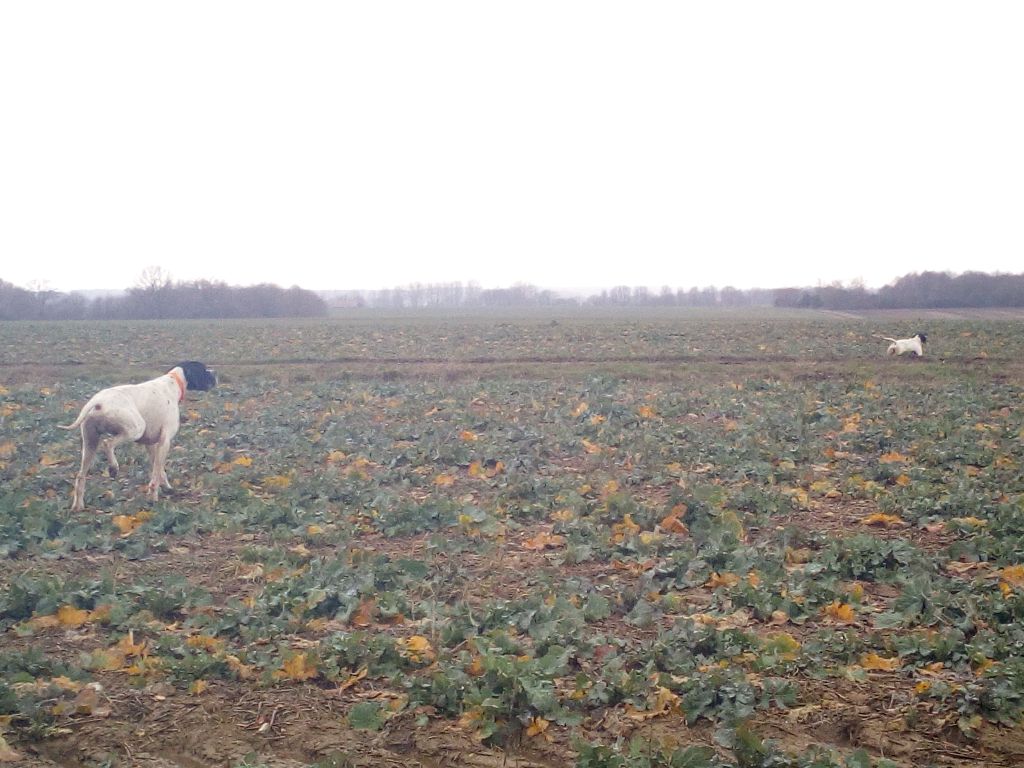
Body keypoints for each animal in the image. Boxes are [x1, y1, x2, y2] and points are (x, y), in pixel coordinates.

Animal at [60, 364, 217, 514]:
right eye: (203, 370)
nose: (214, 373)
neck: (172, 382)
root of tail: (98, 401)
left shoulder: (151, 445)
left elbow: (160, 470)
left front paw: (167, 487)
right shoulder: (164, 442)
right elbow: (155, 475)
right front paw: (153, 497)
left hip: (90, 442)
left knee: (80, 476)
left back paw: (78, 506)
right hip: (135, 428)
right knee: (108, 443)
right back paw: (113, 468)